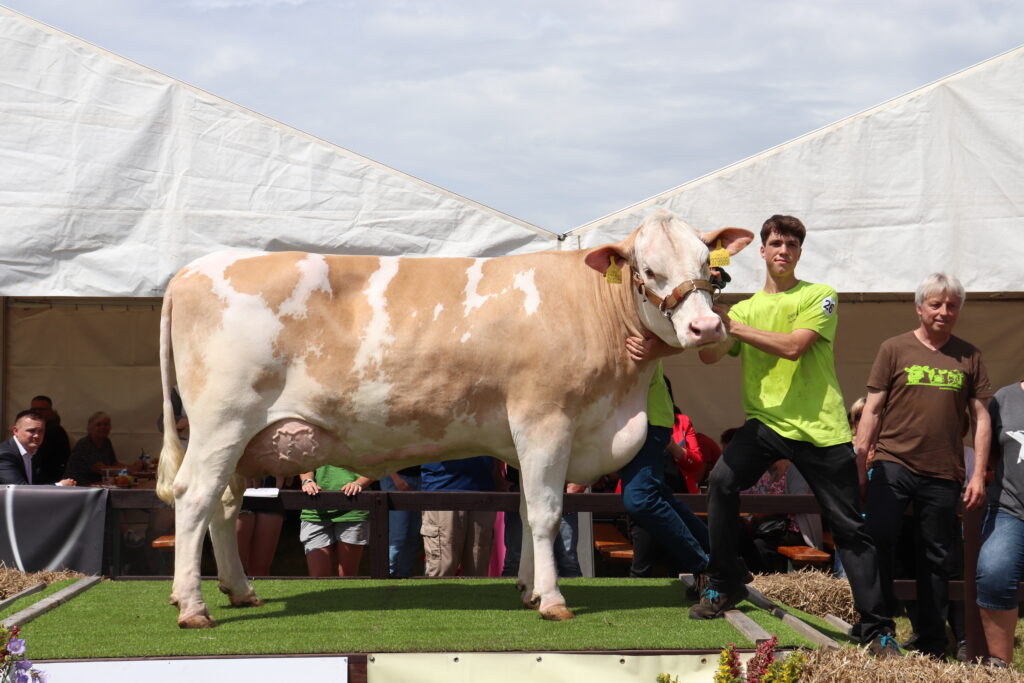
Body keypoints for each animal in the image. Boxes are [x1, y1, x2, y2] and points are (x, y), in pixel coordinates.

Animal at [155, 209, 757, 630]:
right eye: (648, 270)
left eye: (709, 267)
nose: (707, 329)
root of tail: (192, 269)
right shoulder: (544, 418)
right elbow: (545, 514)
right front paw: (553, 601)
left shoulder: (528, 436)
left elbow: (522, 511)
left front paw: (528, 589)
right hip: (222, 422)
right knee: (194, 497)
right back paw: (193, 607)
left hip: (246, 440)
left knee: (224, 507)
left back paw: (238, 590)